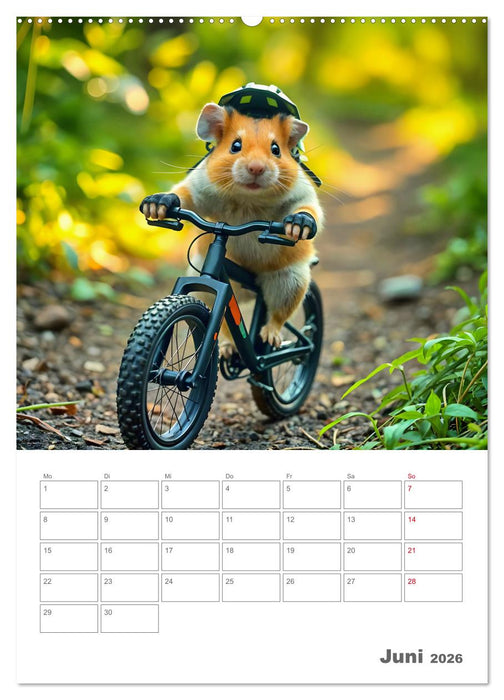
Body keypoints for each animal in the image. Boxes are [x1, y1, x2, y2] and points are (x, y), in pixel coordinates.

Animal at [141, 102, 324, 352]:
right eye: (235, 146)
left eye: (276, 149)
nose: (256, 168)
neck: (248, 200)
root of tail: (252, 288)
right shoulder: (200, 188)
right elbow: (185, 196)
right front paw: (159, 203)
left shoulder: (301, 190)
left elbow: (309, 207)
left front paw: (299, 224)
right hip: (206, 281)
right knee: (227, 325)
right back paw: (228, 348)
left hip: (290, 281)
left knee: (278, 315)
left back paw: (271, 336)